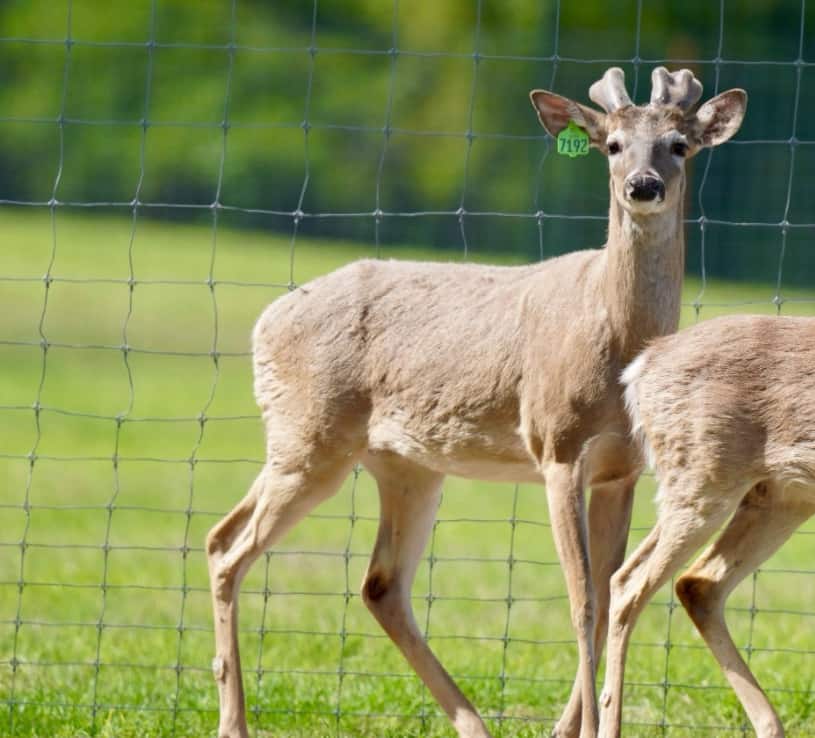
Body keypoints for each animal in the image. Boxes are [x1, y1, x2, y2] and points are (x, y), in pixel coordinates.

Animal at [205, 67, 747, 738]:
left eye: (679, 144)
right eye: (613, 145)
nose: (642, 186)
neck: (613, 332)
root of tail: (265, 320)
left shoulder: (621, 469)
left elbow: (607, 596)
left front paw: (567, 728)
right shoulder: (557, 447)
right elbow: (582, 599)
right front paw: (579, 726)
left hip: (397, 462)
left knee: (372, 582)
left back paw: (473, 724)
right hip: (308, 435)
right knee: (229, 548)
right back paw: (233, 722)